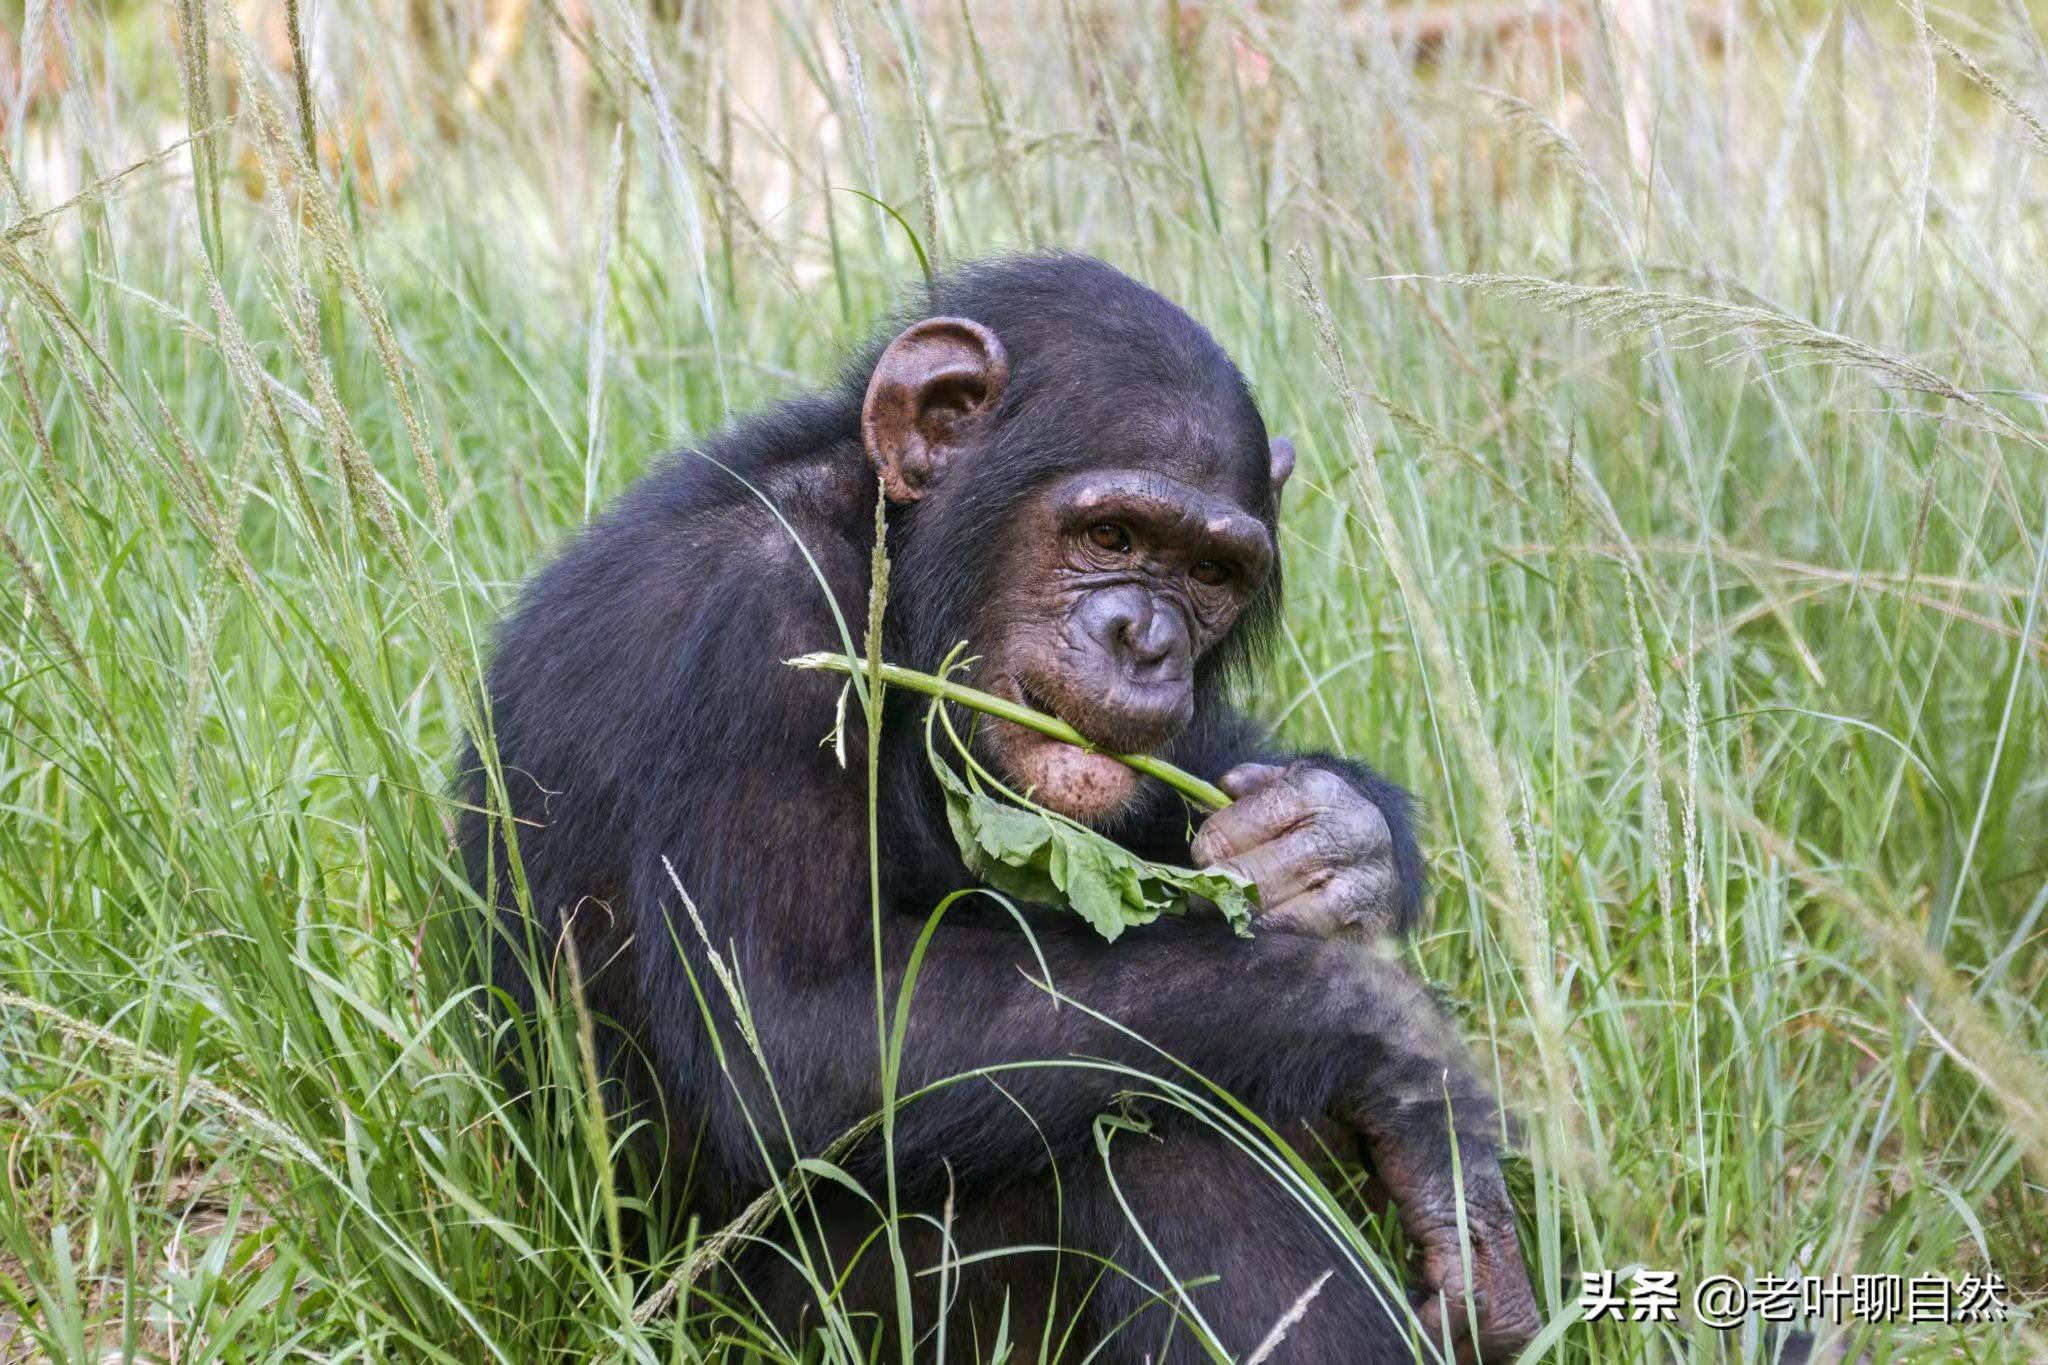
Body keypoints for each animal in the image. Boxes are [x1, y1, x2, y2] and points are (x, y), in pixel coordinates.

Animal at [460, 253, 1540, 1358]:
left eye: (1208, 571)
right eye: (1108, 533)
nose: (1147, 639)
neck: (887, 561)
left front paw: (1331, 839)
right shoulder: (761, 629)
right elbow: (792, 1035)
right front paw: (1393, 1042)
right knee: (1163, 1132)